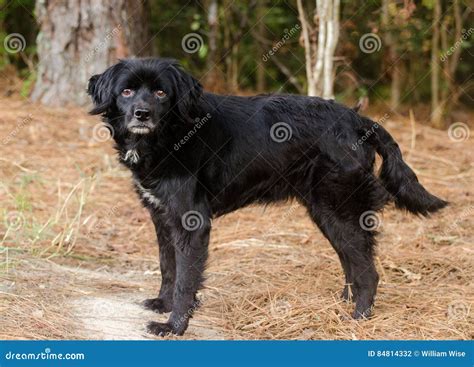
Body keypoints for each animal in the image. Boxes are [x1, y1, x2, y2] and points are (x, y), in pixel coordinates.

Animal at [87, 57, 446, 336]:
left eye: (161, 92)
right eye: (126, 91)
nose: (142, 113)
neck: (172, 135)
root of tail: (359, 120)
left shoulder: (192, 222)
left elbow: (186, 278)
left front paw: (174, 326)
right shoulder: (162, 217)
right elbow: (168, 266)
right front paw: (163, 304)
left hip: (339, 208)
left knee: (368, 271)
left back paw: (356, 319)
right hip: (326, 212)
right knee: (352, 263)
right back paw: (342, 305)